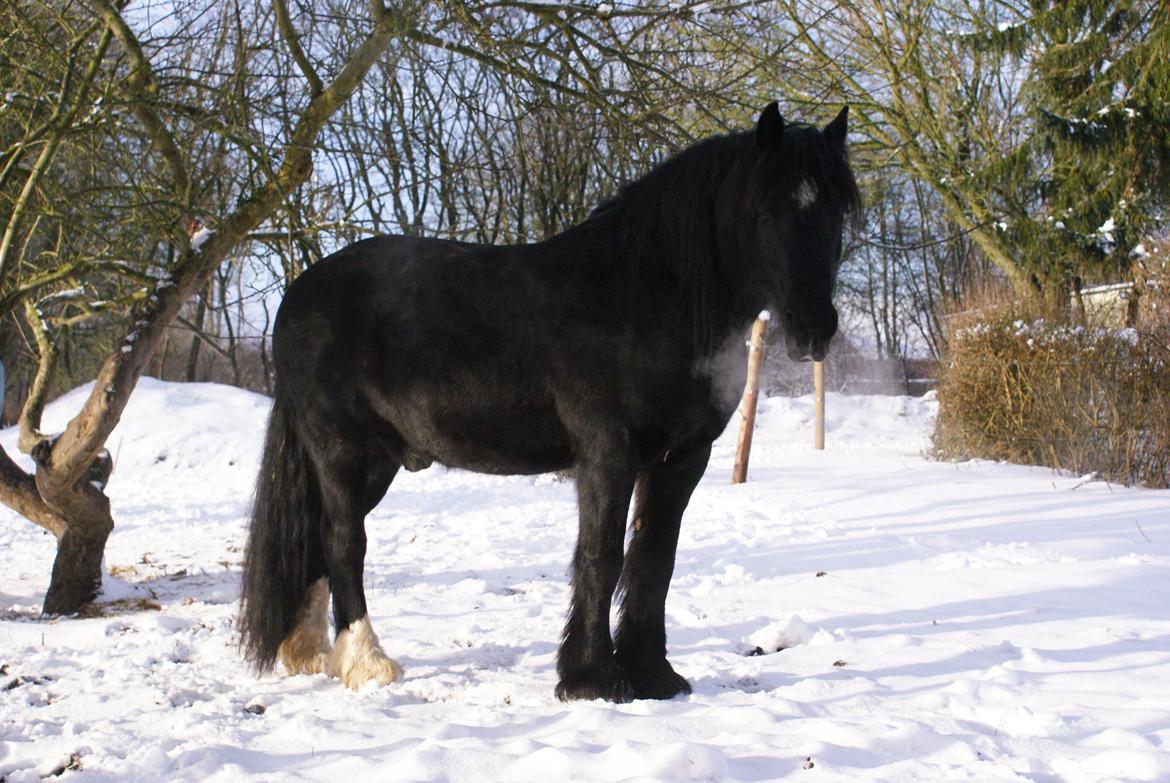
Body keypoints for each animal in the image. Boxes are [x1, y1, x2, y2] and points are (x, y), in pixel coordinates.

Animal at [239, 103, 861, 702]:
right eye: (767, 210)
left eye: (837, 211)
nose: (814, 329)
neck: (648, 297)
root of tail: (297, 296)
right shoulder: (608, 453)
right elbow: (601, 556)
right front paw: (592, 679)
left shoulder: (681, 459)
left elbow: (655, 559)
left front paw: (653, 675)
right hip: (344, 452)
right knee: (344, 541)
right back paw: (367, 663)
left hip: (377, 461)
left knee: (316, 544)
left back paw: (309, 652)